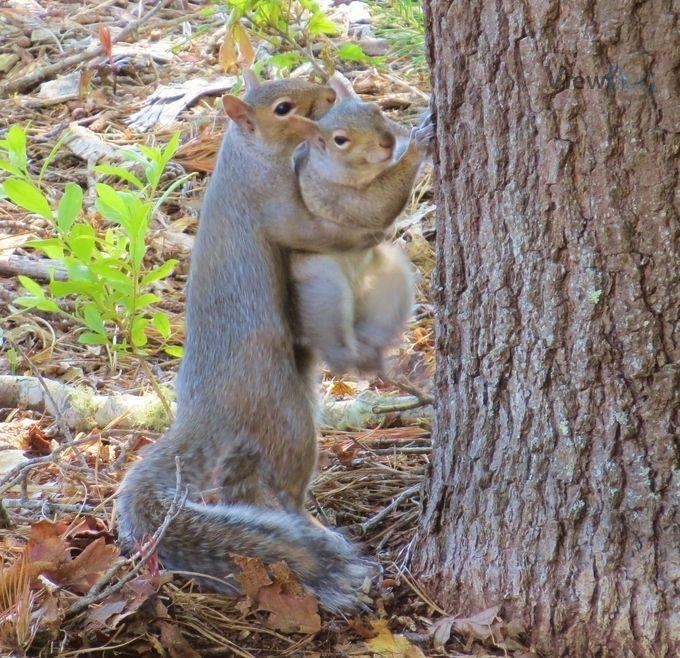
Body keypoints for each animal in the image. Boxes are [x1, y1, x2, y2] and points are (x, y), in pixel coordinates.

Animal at [286, 73, 430, 372]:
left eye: (375, 110)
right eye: (340, 140)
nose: (387, 142)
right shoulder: (340, 198)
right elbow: (379, 204)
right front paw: (418, 145)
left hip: (389, 278)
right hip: (322, 286)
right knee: (336, 348)